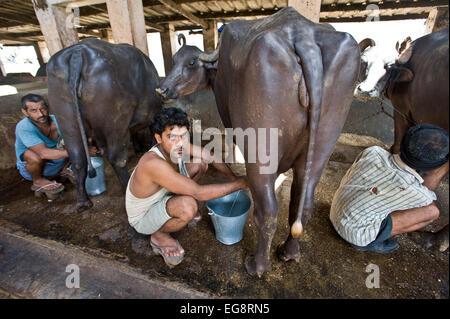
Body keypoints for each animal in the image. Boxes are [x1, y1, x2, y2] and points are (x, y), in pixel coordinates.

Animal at [47, 38, 162, 212]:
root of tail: (78, 52)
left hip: (67, 121)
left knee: (78, 161)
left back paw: (83, 202)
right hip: (116, 122)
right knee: (117, 158)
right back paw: (126, 188)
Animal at [159, 6, 362, 278]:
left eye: (190, 62)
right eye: (173, 60)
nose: (163, 88)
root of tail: (304, 37)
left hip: (261, 150)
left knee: (268, 210)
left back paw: (257, 265)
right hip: (323, 143)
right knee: (303, 203)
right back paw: (289, 252)